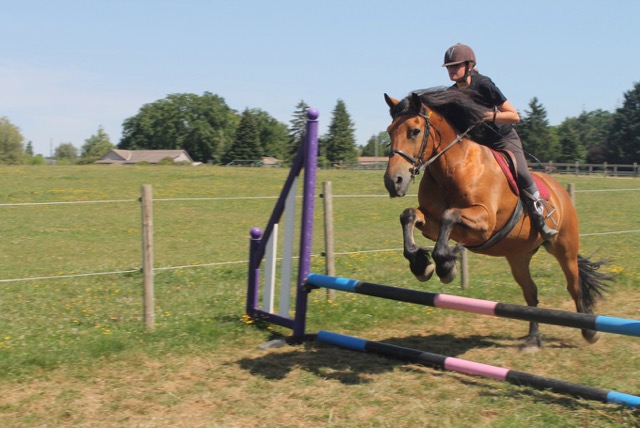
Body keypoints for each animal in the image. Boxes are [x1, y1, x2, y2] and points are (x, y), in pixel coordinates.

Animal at [382, 88, 612, 350]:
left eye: (415, 131)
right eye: (390, 131)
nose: (393, 181)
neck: (452, 167)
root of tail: (560, 191)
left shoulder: (484, 223)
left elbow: (450, 215)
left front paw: (446, 266)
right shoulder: (431, 224)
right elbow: (409, 215)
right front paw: (421, 264)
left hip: (564, 248)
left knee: (574, 285)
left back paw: (589, 331)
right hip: (518, 255)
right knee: (531, 292)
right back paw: (533, 339)